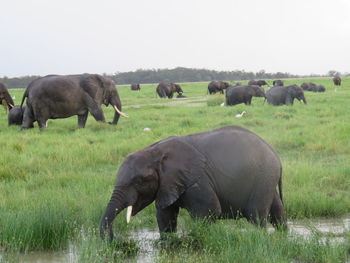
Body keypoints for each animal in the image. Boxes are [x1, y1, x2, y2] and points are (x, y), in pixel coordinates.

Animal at [100, 126, 286, 241]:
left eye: (139, 181)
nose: (112, 240)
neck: (154, 151)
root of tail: (276, 156)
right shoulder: (168, 184)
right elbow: (165, 216)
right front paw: (166, 243)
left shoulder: (197, 180)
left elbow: (209, 210)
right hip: (268, 179)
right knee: (277, 211)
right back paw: (284, 236)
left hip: (263, 178)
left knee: (256, 216)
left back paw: (262, 238)